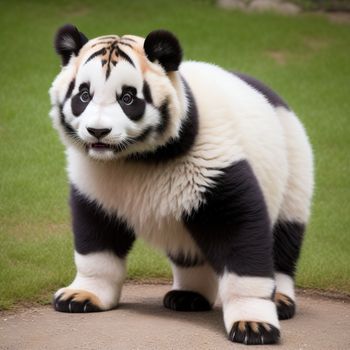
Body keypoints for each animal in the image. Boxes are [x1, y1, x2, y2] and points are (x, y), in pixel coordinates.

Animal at [47, 23, 314, 344]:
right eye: (84, 95)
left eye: (128, 98)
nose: (98, 132)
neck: (135, 157)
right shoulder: (96, 175)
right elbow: (96, 235)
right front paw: (82, 295)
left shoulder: (211, 157)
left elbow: (239, 231)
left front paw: (253, 324)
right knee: (189, 252)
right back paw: (189, 296)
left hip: (292, 162)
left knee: (285, 235)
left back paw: (280, 299)